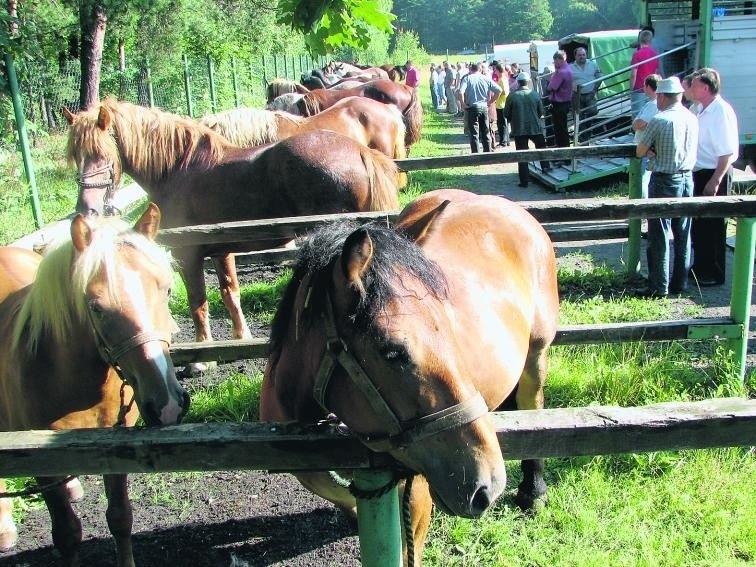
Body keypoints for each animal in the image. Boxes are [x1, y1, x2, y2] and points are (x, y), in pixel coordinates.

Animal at [0, 205, 189, 567]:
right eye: (96, 307)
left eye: (168, 290)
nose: (168, 405)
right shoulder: (38, 462)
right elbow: (67, 534)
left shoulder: (115, 445)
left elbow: (120, 517)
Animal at [65, 97, 398, 372]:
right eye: (77, 156)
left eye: (103, 154)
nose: (87, 209)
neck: (178, 171)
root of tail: (360, 151)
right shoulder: (220, 250)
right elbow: (230, 294)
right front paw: (241, 337)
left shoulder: (189, 254)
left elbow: (198, 303)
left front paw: (202, 358)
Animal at [262, 190, 560, 564]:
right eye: (392, 351)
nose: (488, 485)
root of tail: (499, 202)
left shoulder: (416, 498)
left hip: (537, 353)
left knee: (531, 402)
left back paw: (533, 490)